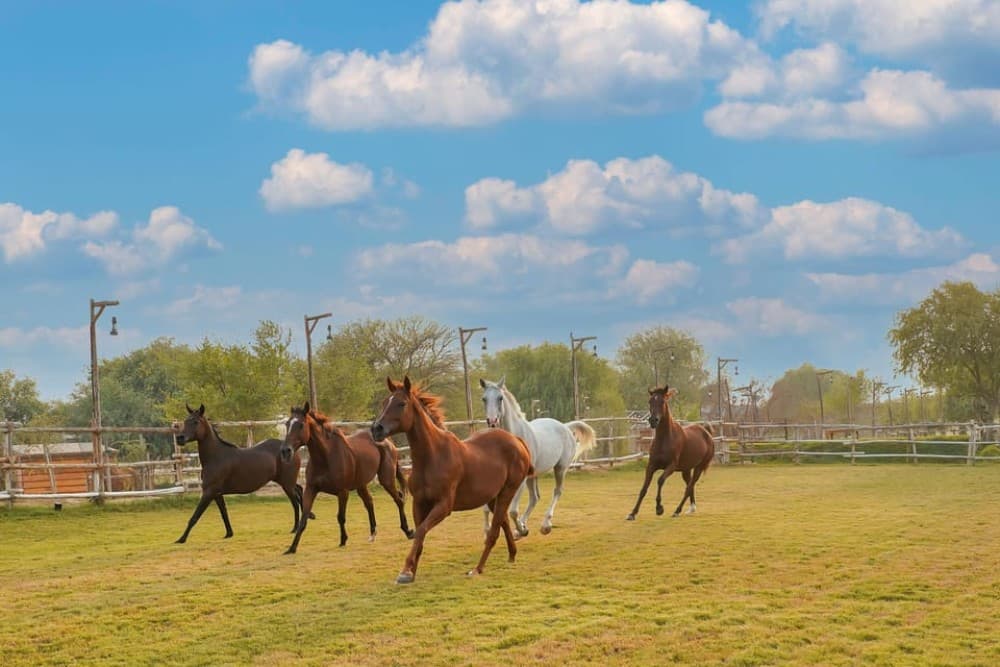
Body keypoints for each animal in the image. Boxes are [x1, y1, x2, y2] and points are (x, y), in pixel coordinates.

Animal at [173, 403, 308, 543]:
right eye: (185, 421)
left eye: (195, 421)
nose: (180, 438)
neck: (216, 457)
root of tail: (291, 450)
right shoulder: (217, 494)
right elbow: (224, 514)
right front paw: (229, 534)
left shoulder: (208, 492)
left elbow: (194, 517)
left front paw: (181, 539)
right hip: (286, 482)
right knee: (299, 491)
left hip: (287, 484)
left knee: (295, 501)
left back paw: (295, 528)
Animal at [280, 402, 413, 554]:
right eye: (287, 424)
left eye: (301, 425)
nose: (285, 451)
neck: (326, 457)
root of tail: (388, 442)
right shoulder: (311, 489)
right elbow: (304, 519)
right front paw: (291, 548)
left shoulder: (342, 492)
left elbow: (341, 517)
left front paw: (343, 540)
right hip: (362, 484)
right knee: (369, 502)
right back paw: (373, 534)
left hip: (386, 480)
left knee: (399, 499)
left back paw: (408, 531)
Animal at [371, 376, 533, 584]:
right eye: (385, 403)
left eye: (401, 403)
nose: (376, 429)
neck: (432, 456)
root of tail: (517, 441)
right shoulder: (419, 503)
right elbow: (420, 534)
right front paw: (410, 572)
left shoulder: (444, 506)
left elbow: (421, 531)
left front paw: (405, 572)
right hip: (492, 496)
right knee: (503, 521)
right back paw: (512, 555)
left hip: (507, 491)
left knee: (494, 530)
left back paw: (477, 569)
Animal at [479, 376, 596, 537]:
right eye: (484, 399)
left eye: (500, 398)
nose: (492, 422)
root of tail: (565, 426)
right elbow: (487, 508)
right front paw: (488, 531)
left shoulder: (520, 480)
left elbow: (513, 511)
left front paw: (522, 530)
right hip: (533, 476)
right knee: (535, 498)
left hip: (560, 468)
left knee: (557, 491)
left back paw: (545, 526)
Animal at [626, 386, 714, 521]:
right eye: (650, 401)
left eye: (662, 401)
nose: (653, 420)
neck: (665, 438)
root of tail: (706, 432)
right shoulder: (651, 466)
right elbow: (644, 488)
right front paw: (632, 513)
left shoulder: (671, 466)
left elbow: (660, 480)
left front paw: (659, 509)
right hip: (686, 470)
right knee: (690, 485)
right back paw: (691, 508)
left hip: (699, 468)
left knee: (689, 487)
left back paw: (677, 511)